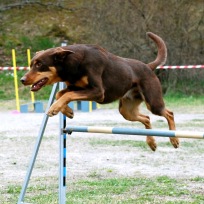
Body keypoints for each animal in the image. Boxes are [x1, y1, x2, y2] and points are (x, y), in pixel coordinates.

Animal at [21, 31, 179, 150]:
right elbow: (61, 94)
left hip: (153, 102)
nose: (22, 79)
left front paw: (55, 109)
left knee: (169, 113)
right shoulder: (76, 87)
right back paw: (151, 143)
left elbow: (68, 95)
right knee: (146, 118)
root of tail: (148, 66)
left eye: (39, 64)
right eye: (31, 64)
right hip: (126, 110)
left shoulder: (97, 92)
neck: (73, 63)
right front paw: (67, 111)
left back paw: (174, 139)